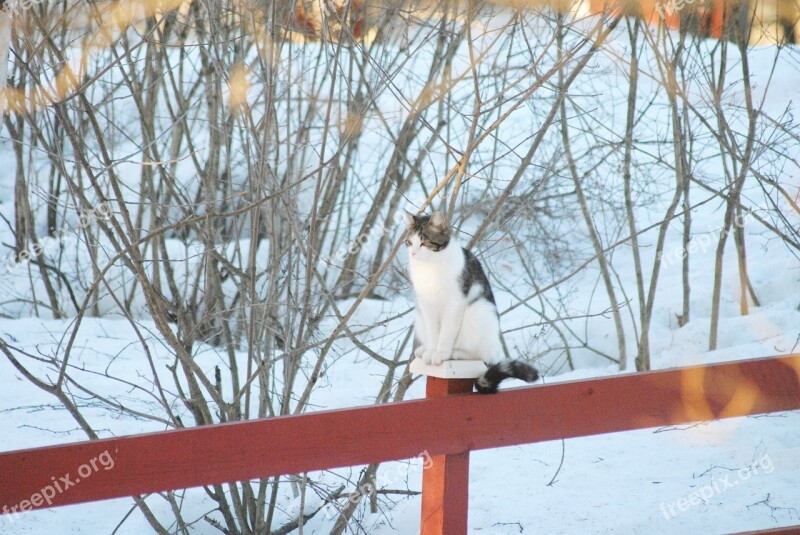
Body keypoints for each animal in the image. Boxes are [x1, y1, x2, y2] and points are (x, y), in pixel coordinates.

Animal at [404, 211, 540, 396]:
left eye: (424, 242)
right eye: (410, 242)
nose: (413, 253)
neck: (430, 268)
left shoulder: (454, 303)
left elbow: (445, 334)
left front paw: (440, 353)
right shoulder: (427, 305)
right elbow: (434, 334)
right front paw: (431, 351)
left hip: (478, 311)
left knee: (481, 355)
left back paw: (456, 353)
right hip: (420, 316)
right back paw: (424, 350)